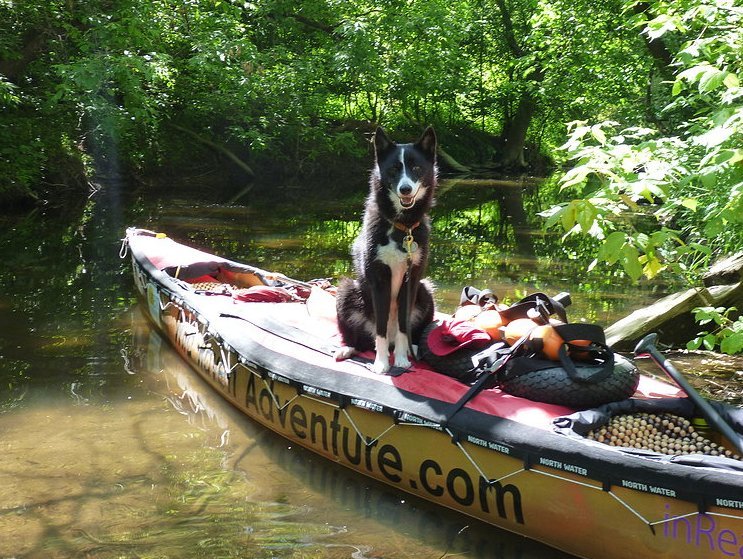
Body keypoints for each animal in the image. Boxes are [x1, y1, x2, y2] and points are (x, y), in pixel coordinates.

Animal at [336, 126, 438, 372]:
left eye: (416, 168)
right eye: (393, 169)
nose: (405, 189)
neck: (402, 226)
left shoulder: (412, 279)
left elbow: (403, 326)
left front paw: (401, 359)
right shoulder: (379, 278)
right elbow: (380, 329)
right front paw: (381, 363)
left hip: (426, 291)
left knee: (410, 332)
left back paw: (413, 350)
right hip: (346, 291)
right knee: (362, 339)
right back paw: (348, 348)